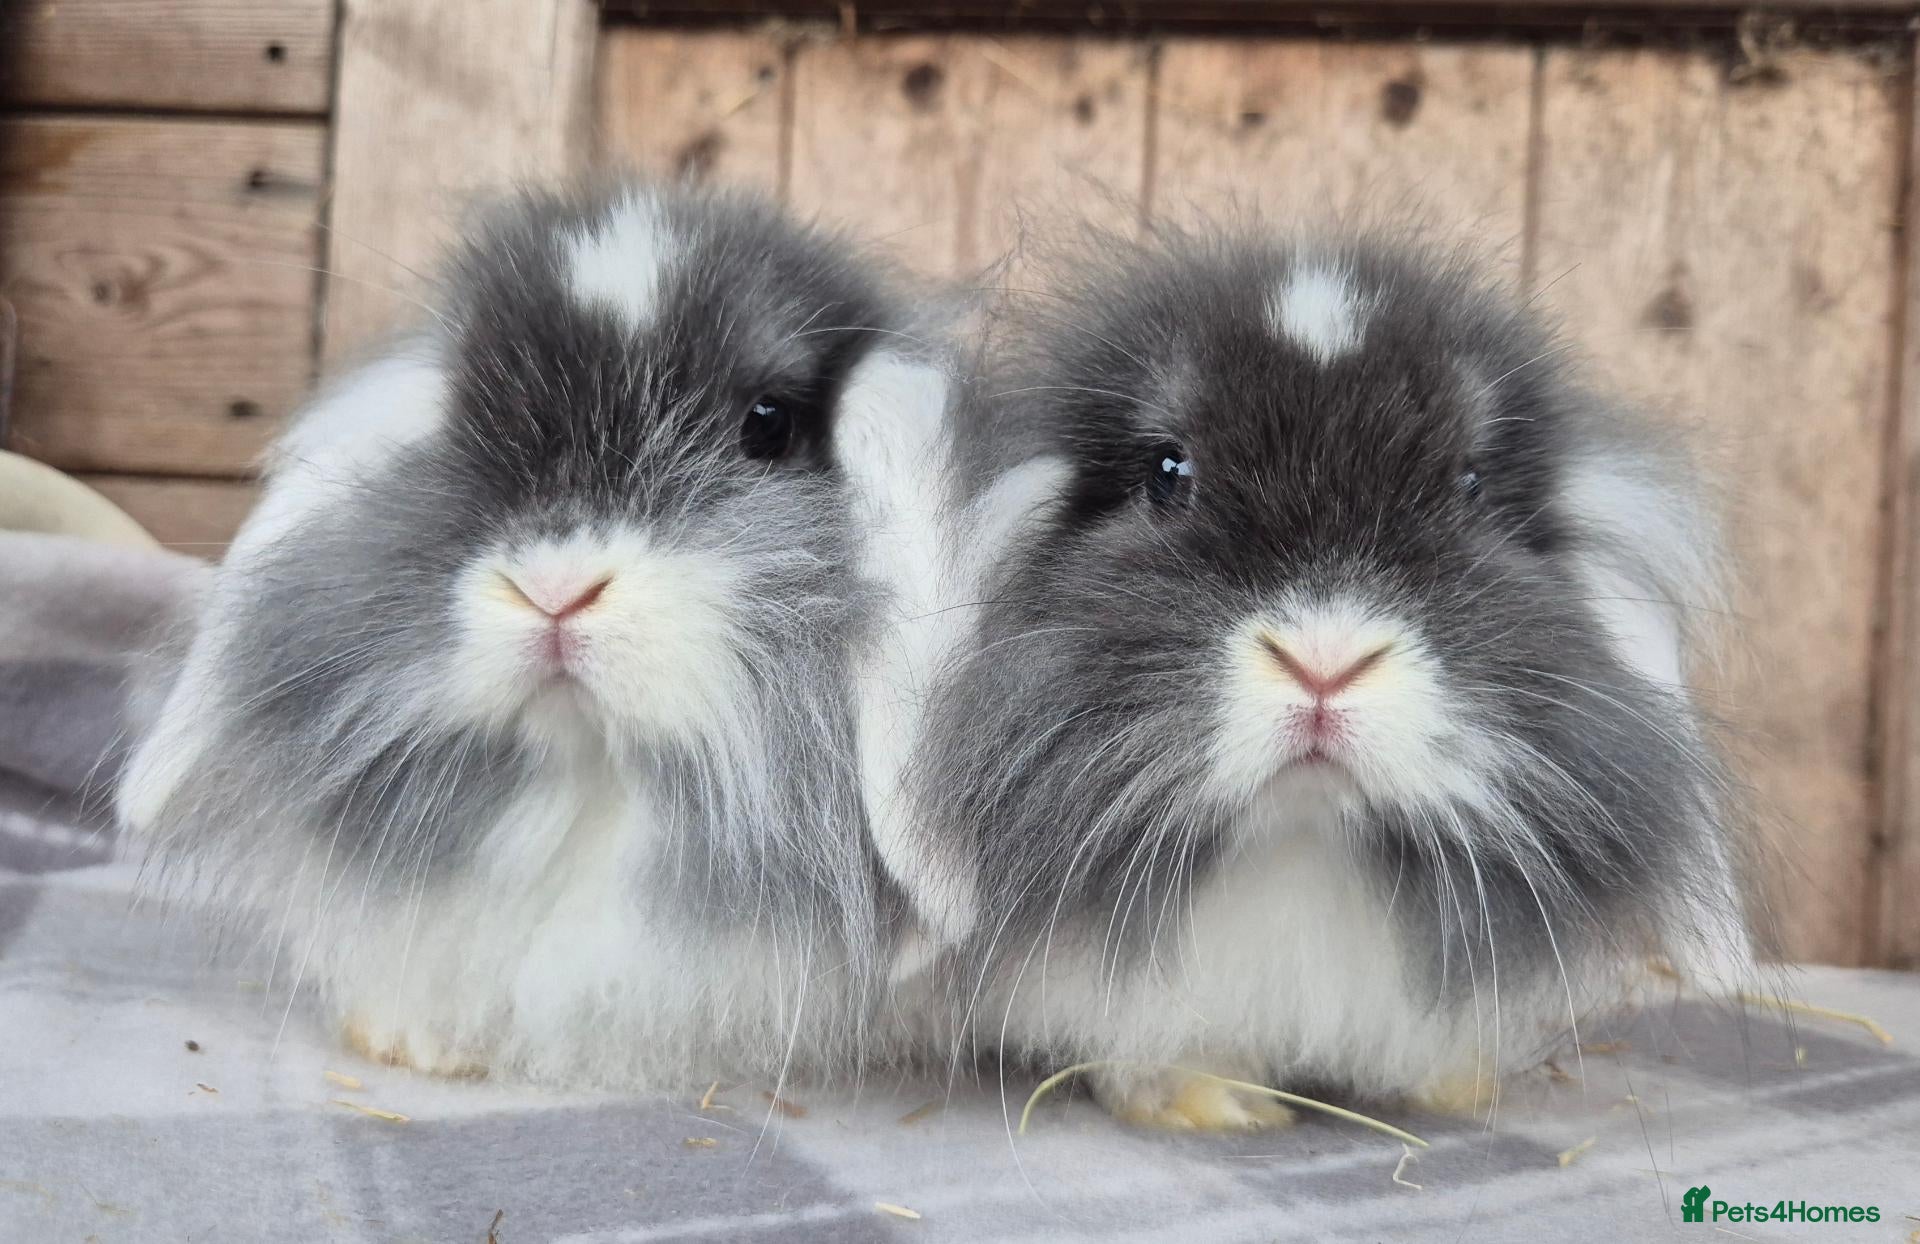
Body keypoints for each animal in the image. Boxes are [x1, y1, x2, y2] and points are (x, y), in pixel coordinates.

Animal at [900, 224, 1759, 1130]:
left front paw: (1453, 1091)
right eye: (1169, 472)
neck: (1301, 846)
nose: (1324, 663)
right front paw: (1218, 1107)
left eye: (1471, 485)